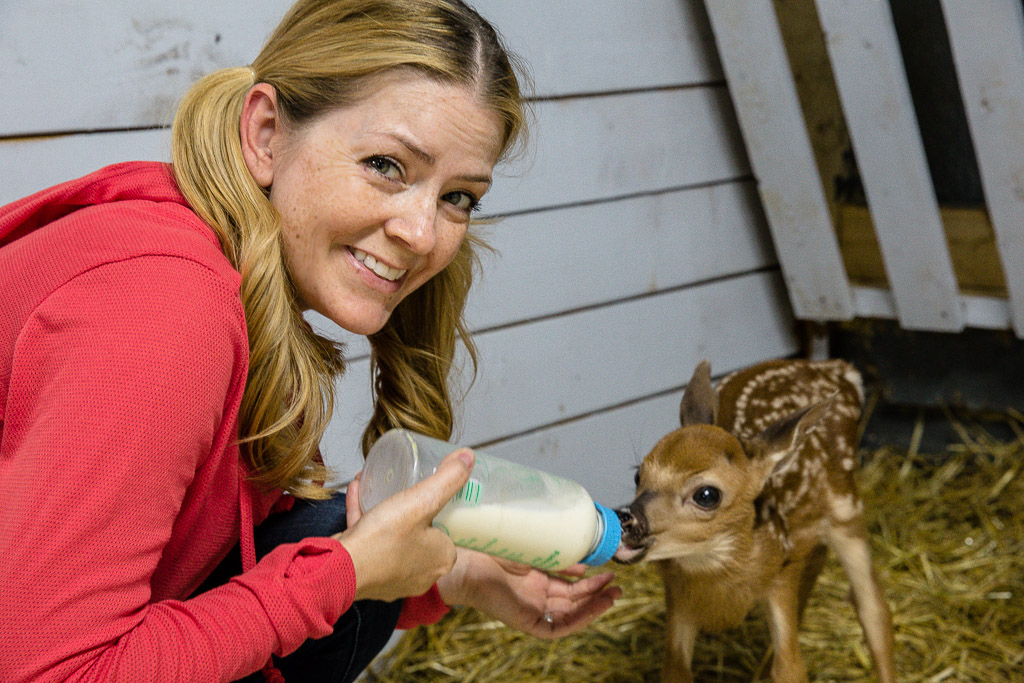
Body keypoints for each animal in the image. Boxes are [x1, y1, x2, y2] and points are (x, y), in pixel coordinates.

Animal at [610, 360, 892, 679]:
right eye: (638, 474)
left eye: (707, 495)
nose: (626, 518)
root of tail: (838, 368)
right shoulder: (678, 597)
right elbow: (675, 669)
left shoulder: (779, 576)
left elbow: (790, 668)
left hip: (847, 507)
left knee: (873, 607)